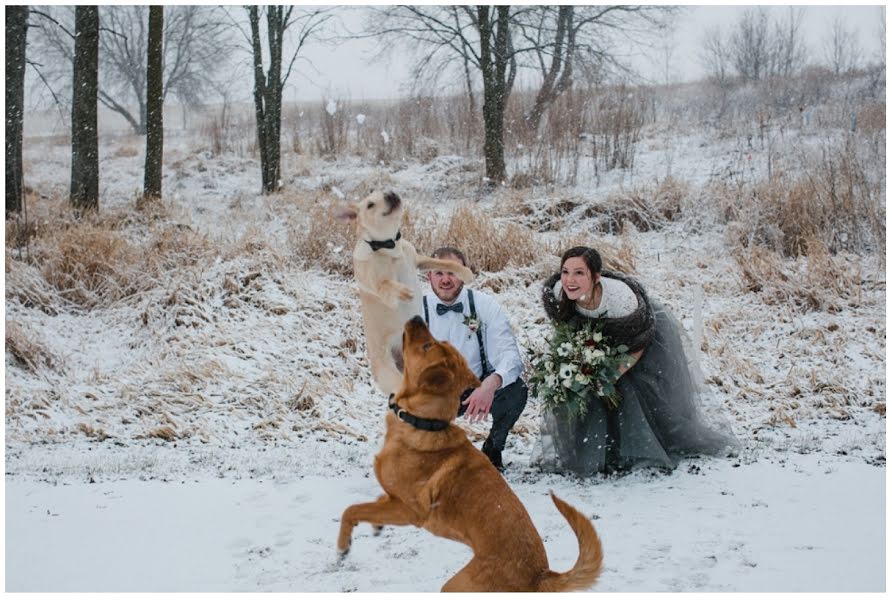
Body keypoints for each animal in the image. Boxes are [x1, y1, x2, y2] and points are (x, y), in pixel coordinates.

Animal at [336, 190, 474, 396]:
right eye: (370, 205)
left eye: (385, 190)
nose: (390, 194)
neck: (389, 246)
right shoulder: (377, 285)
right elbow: (387, 284)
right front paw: (405, 292)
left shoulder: (419, 260)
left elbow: (444, 263)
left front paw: (465, 272)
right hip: (391, 376)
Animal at [336, 316, 608, 592]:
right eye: (436, 341)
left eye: (427, 346)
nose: (416, 317)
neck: (423, 422)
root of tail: (540, 574)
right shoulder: (393, 499)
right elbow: (372, 503)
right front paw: (374, 525)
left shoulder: (410, 512)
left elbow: (351, 509)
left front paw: (343, 546)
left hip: (457, 585)